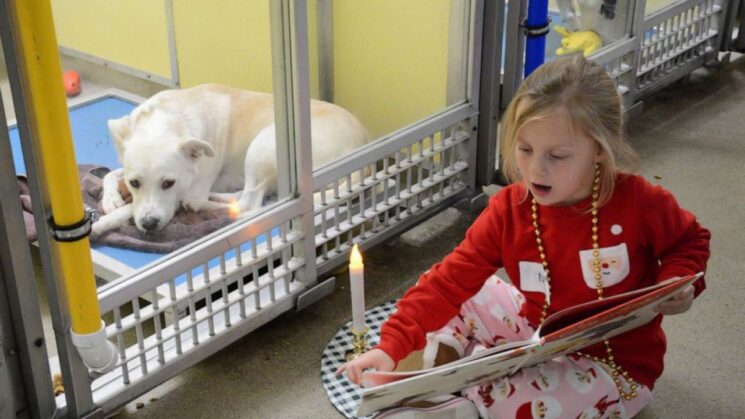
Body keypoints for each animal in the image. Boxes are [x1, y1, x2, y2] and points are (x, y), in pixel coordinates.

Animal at [93, 85, 370, 236]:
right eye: (134, 183)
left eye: (168, 183)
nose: (149, 224)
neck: (168, 120)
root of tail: (363, 146)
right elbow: (111, 174)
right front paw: (111, 199)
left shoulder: (186, 189)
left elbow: (137, 207)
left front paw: (104, 223)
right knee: (244, 197)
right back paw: (219, 197)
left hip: (264, 144)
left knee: (247, 203)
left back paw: (207, 206)